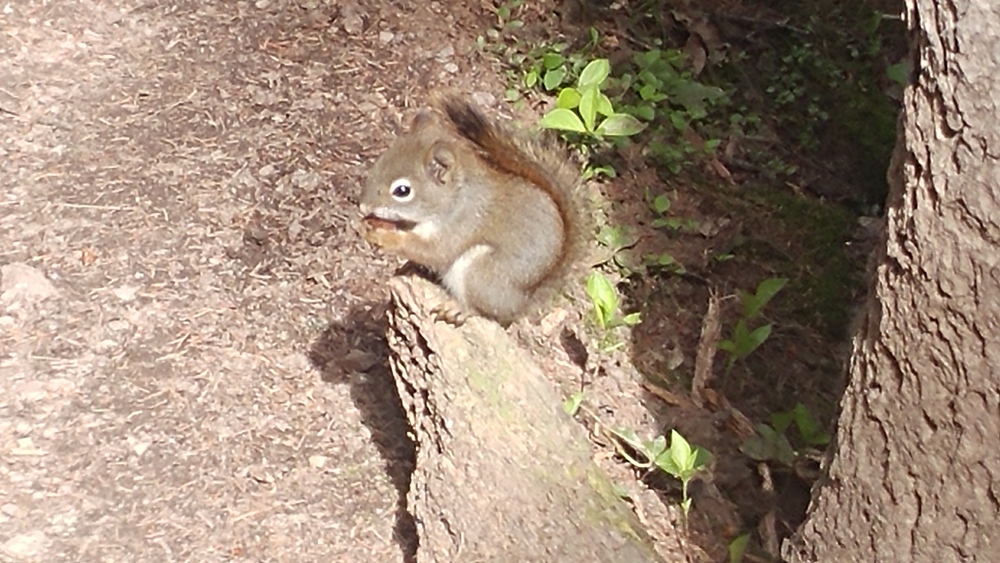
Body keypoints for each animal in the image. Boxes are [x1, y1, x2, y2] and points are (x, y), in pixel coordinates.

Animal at [362, 97, 584, 326]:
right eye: (379, 163)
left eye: (402, 191)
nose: (363, 206)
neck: (454, 199)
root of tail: (523, 303)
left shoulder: (460, 225)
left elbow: (432, 251)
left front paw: (383, 236)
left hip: (481, 274)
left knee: (487, 311)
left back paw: (459, 309)